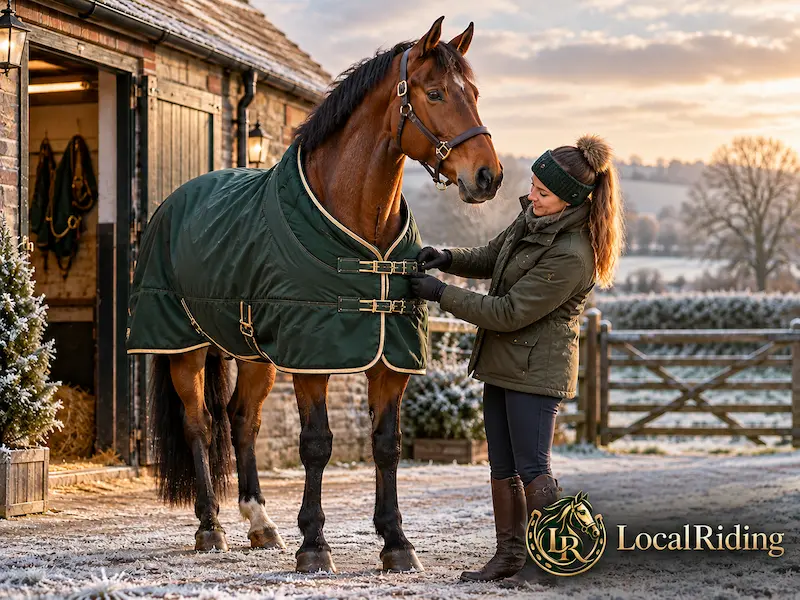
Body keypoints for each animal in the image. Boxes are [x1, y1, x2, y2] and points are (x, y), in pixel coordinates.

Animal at [130, 16, 502, 573]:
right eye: (435, 92)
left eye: (474, 93)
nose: (488, 176)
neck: (363, 232)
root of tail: (174, 202)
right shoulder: (311, 359)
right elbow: (316, 444)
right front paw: (314, 546)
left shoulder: (389, 361)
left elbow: (386, 445)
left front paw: (397, 543)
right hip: (184, 346)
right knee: (200, 425)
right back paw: (211, 527)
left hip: (253, 353)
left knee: (242, 421)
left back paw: (260, 523)